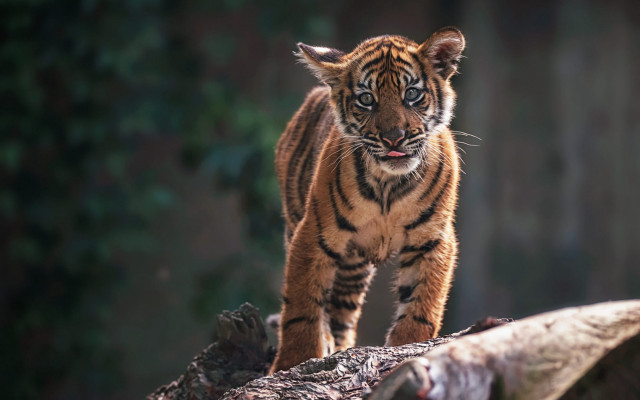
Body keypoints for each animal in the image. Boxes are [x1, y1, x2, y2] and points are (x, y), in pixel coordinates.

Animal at [270, 27, 465, 374]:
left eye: (412, 94)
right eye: (366, 99)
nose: (394, 138)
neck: (389, 182)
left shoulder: (432, 239)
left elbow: (421, 307)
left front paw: (407, 348)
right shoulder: (314, 234)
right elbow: (301, 307)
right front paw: (291, 362)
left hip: (353, 268)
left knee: (342, 313)